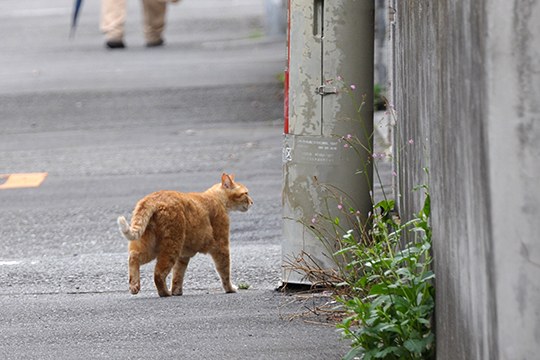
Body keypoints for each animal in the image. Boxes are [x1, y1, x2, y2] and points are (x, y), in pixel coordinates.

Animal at [117, 173, 252, 296]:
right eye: (246, 193)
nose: (252, 202)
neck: (218, 199)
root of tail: (152, 197)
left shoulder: (183, 256)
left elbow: (178, 275)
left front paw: (177, 291)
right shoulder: (221, 247)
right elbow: (225, 272)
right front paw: (230, 289)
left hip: (151, 246)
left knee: (134, 257)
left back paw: (134, 286)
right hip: (171, 247)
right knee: (158, 273)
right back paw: (165, 293)